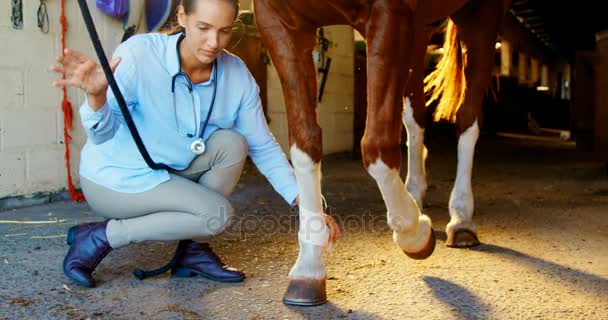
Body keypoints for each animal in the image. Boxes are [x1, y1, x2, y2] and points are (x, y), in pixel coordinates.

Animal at [254, 0, 510, 306]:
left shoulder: (388, 15)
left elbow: (376, 145)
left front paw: (415, 235)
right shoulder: (280, 23)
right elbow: (304, 144)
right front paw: (308, 268)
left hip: (479, 14)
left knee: (467, 119)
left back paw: (461, 221)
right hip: (420, 30)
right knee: (415, 116)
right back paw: (415, 193)